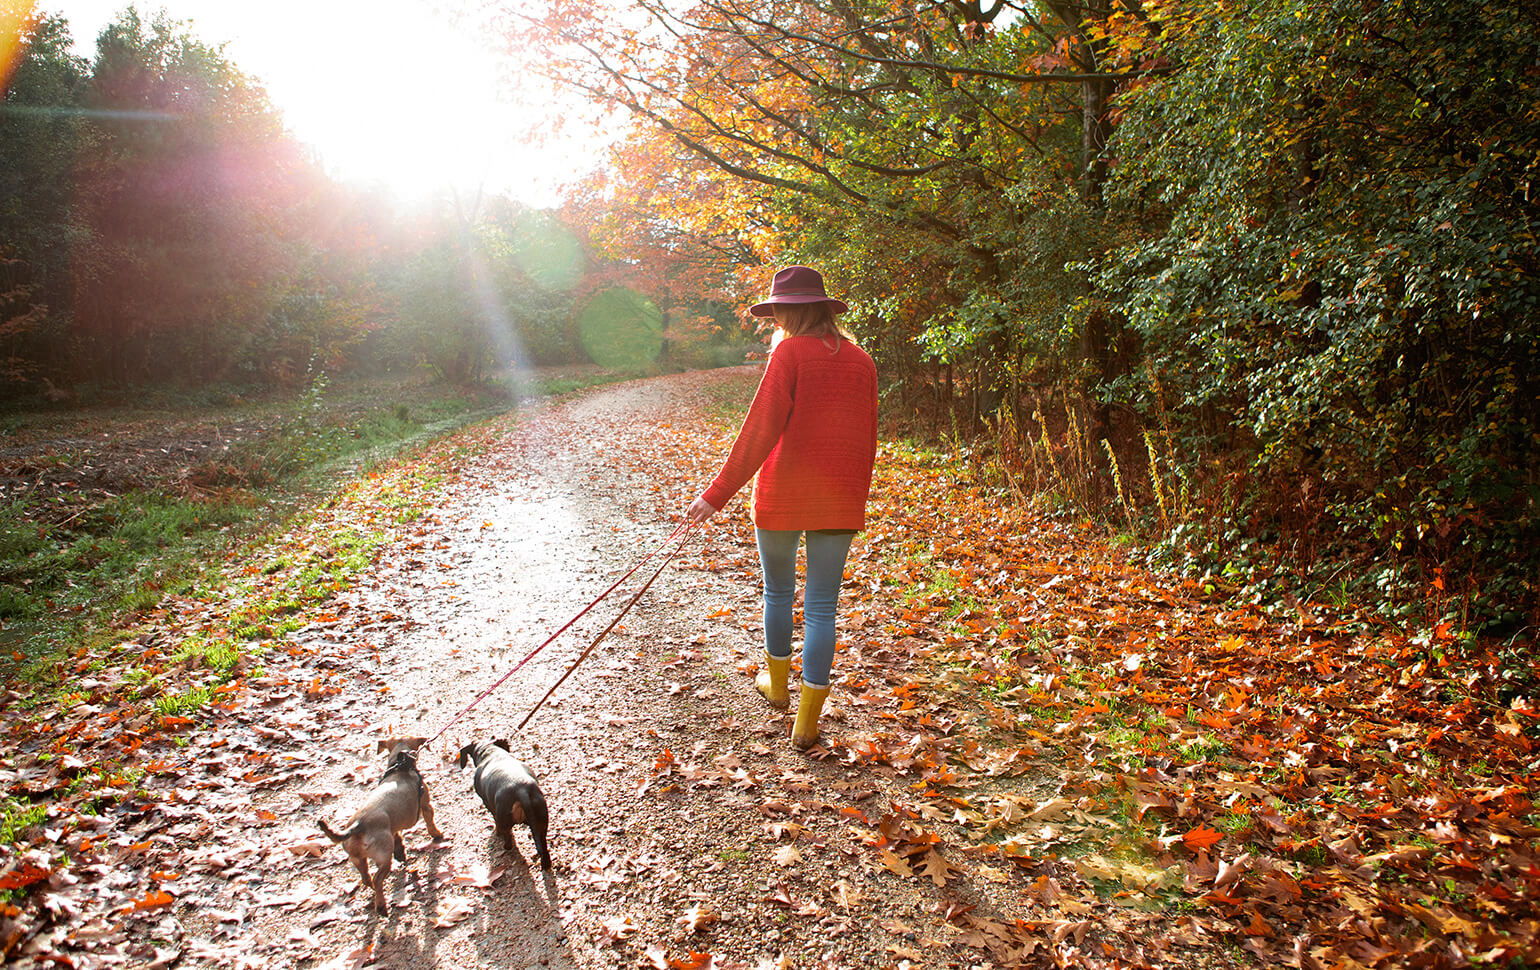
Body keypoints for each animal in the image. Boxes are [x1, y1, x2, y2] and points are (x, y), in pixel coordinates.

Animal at [317, 742, 443, 917]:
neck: (400, 767)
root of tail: (358, 825)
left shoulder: (394, 826)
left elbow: (398, 838)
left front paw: (401, 852)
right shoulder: (426, 805)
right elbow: (430, 823)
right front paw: (437, 835)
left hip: (357, 859)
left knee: (366, 878)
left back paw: (374, 892)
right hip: (383, 858)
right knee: (377, 879)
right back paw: (382, 905)